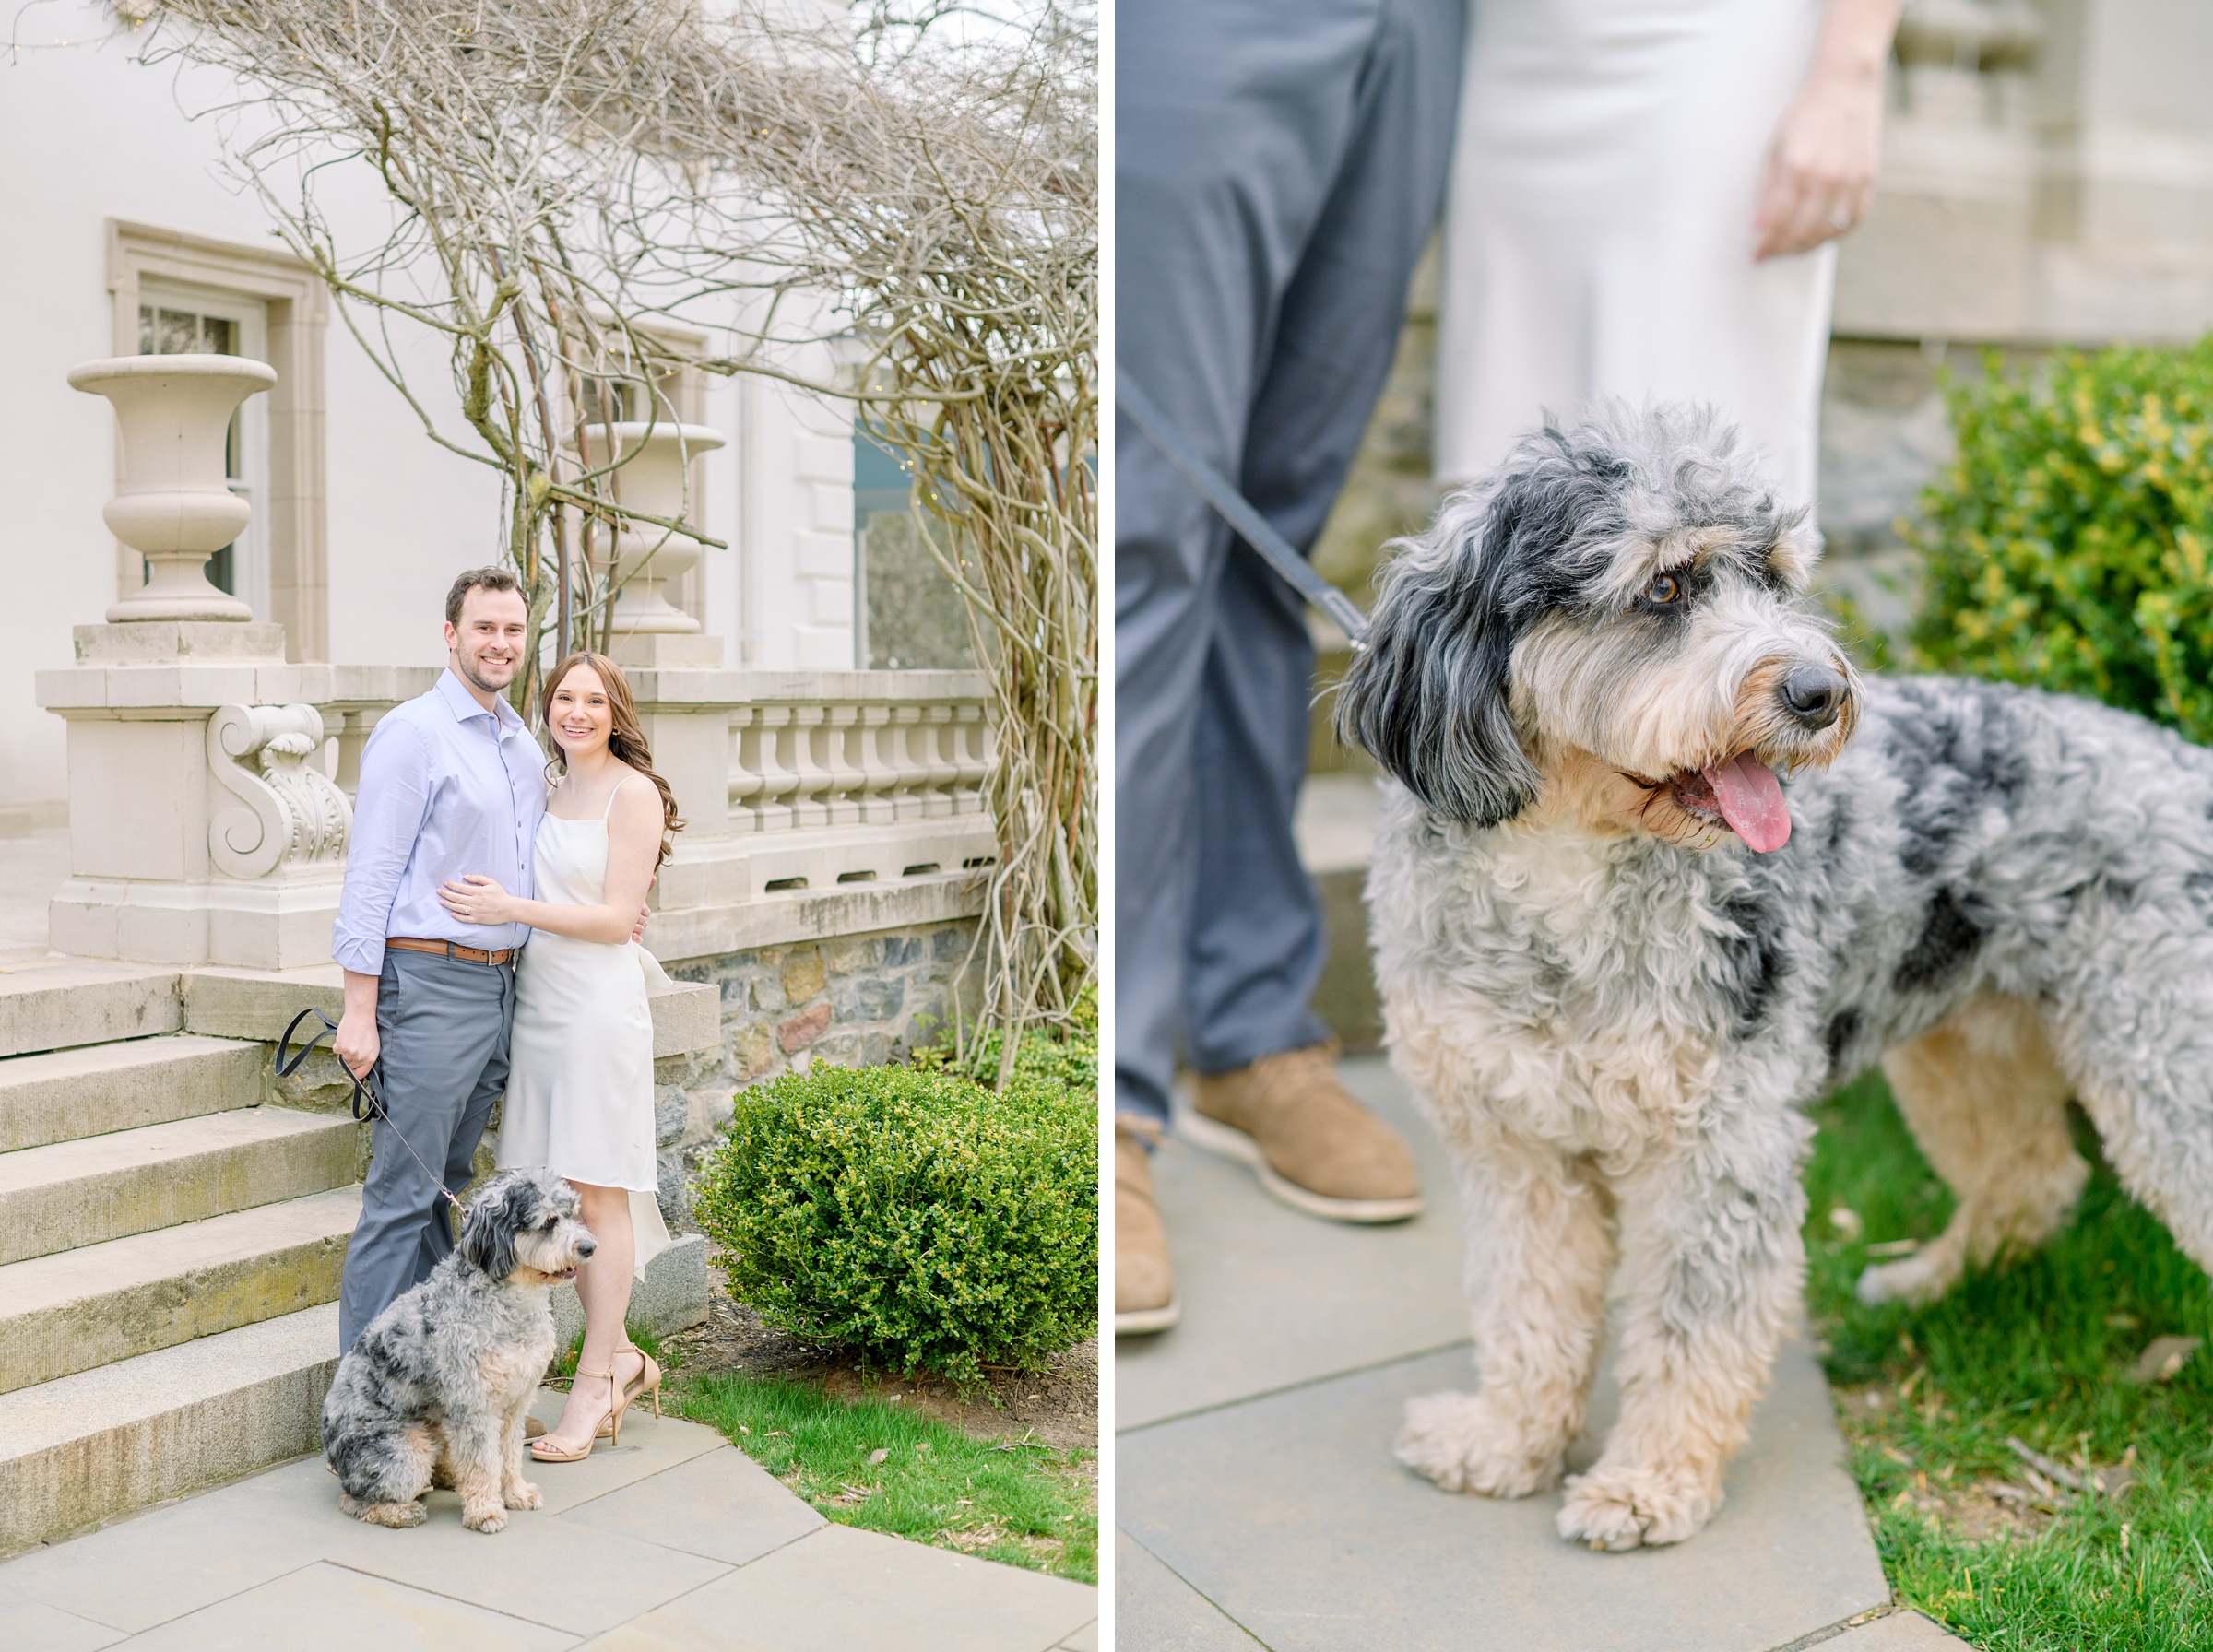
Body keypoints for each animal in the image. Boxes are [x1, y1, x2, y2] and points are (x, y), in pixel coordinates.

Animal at [321, 1159, 598, 1539]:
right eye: (548, 1222)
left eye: (571, 1213)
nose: (589, 1247)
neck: (509, 1302)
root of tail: (330, 1448)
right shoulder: (473, 1404)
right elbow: (483, 1462)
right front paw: (486, 1511)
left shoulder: (515, 1401)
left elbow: (508, 1455)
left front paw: (515, 1493)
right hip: (405, 1450)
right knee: (356, 1500)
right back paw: (402, 1511)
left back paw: (451, 1477)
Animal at [1328, 400, 2213, 1548]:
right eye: (1665, 587)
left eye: (1776, 577)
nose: (1820, 691)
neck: (1568, 874)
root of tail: (2185, 761)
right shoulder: (1517, 1150)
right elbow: (1527, 1308)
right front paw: (1506, 1442)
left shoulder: (1717, 1145)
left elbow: (1690, 1328)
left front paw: (1647, 1482)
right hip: (1964, 1047)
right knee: (2034, 1176)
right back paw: (1925, 1281)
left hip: (2166, 1064)